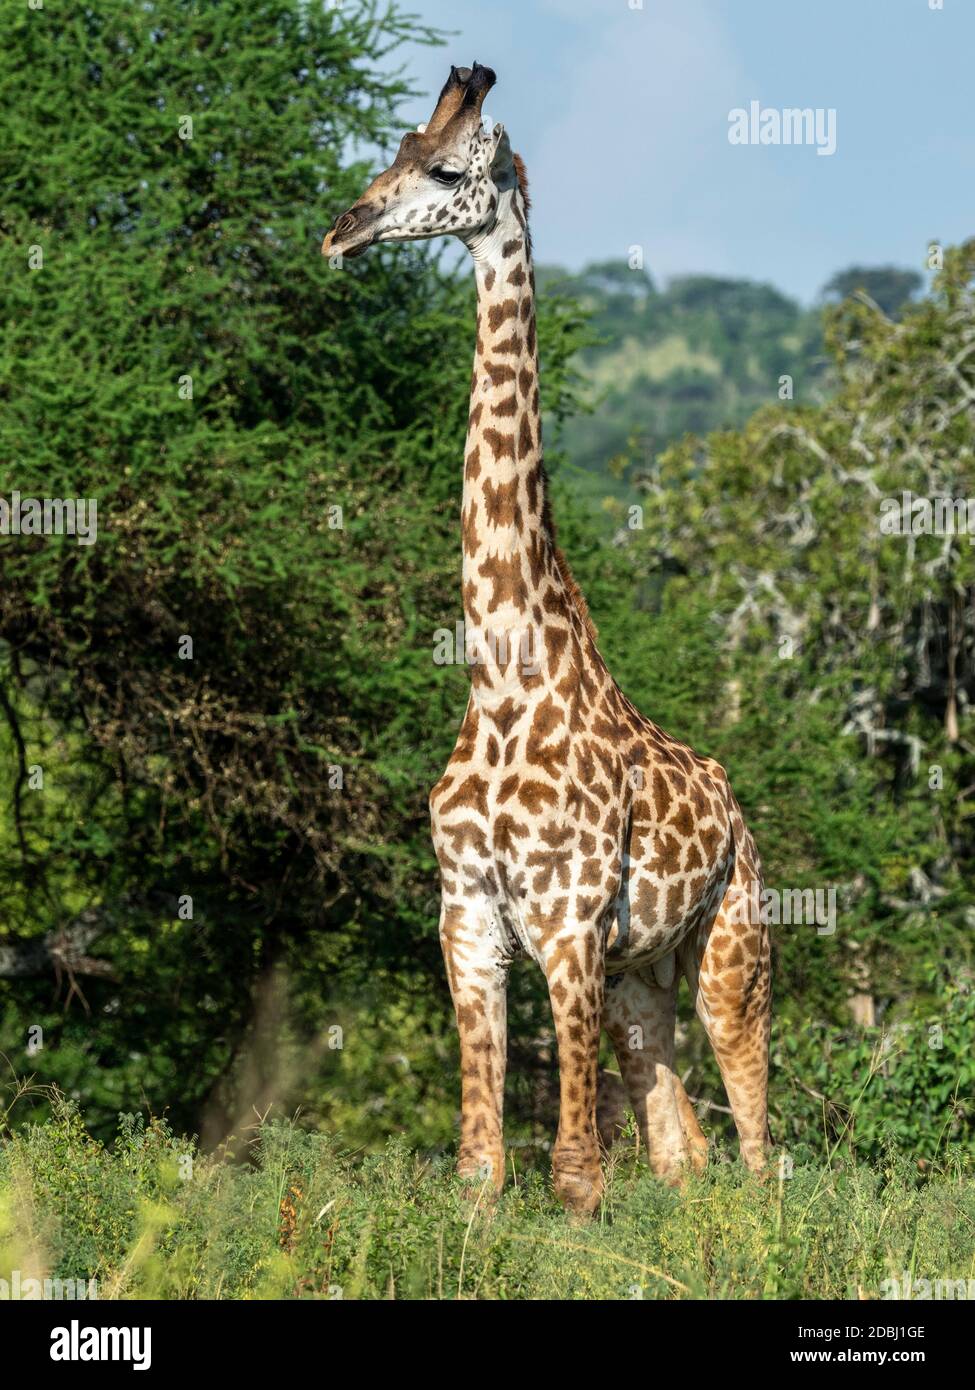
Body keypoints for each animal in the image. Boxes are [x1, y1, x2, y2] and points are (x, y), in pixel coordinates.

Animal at [322, 62, 773, 1217]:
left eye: (445, 170)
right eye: (393, 151)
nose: (343, 230)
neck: (501, 679)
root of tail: (736, 808)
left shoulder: (566, 923)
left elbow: (574, 1172)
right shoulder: (469, 917)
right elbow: (481, 1167)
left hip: (729, 950)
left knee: (758, 1140)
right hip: (637, 980)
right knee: (684, 1152)